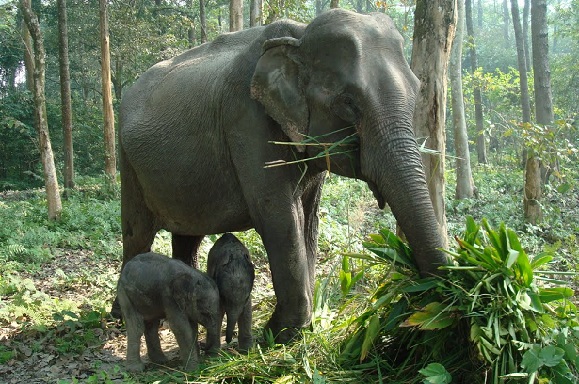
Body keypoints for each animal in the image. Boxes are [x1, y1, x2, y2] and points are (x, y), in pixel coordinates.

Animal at [118, 9, 450, 342]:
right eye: (348, 102)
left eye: (417, 91)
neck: (300, 35)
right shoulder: (246, 118)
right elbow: (277, 215)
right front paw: (281, 333)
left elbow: (308, 218)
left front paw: (301, 329)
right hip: (128, 164)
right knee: (137, 233)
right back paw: (124, 315)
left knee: (187, 236)